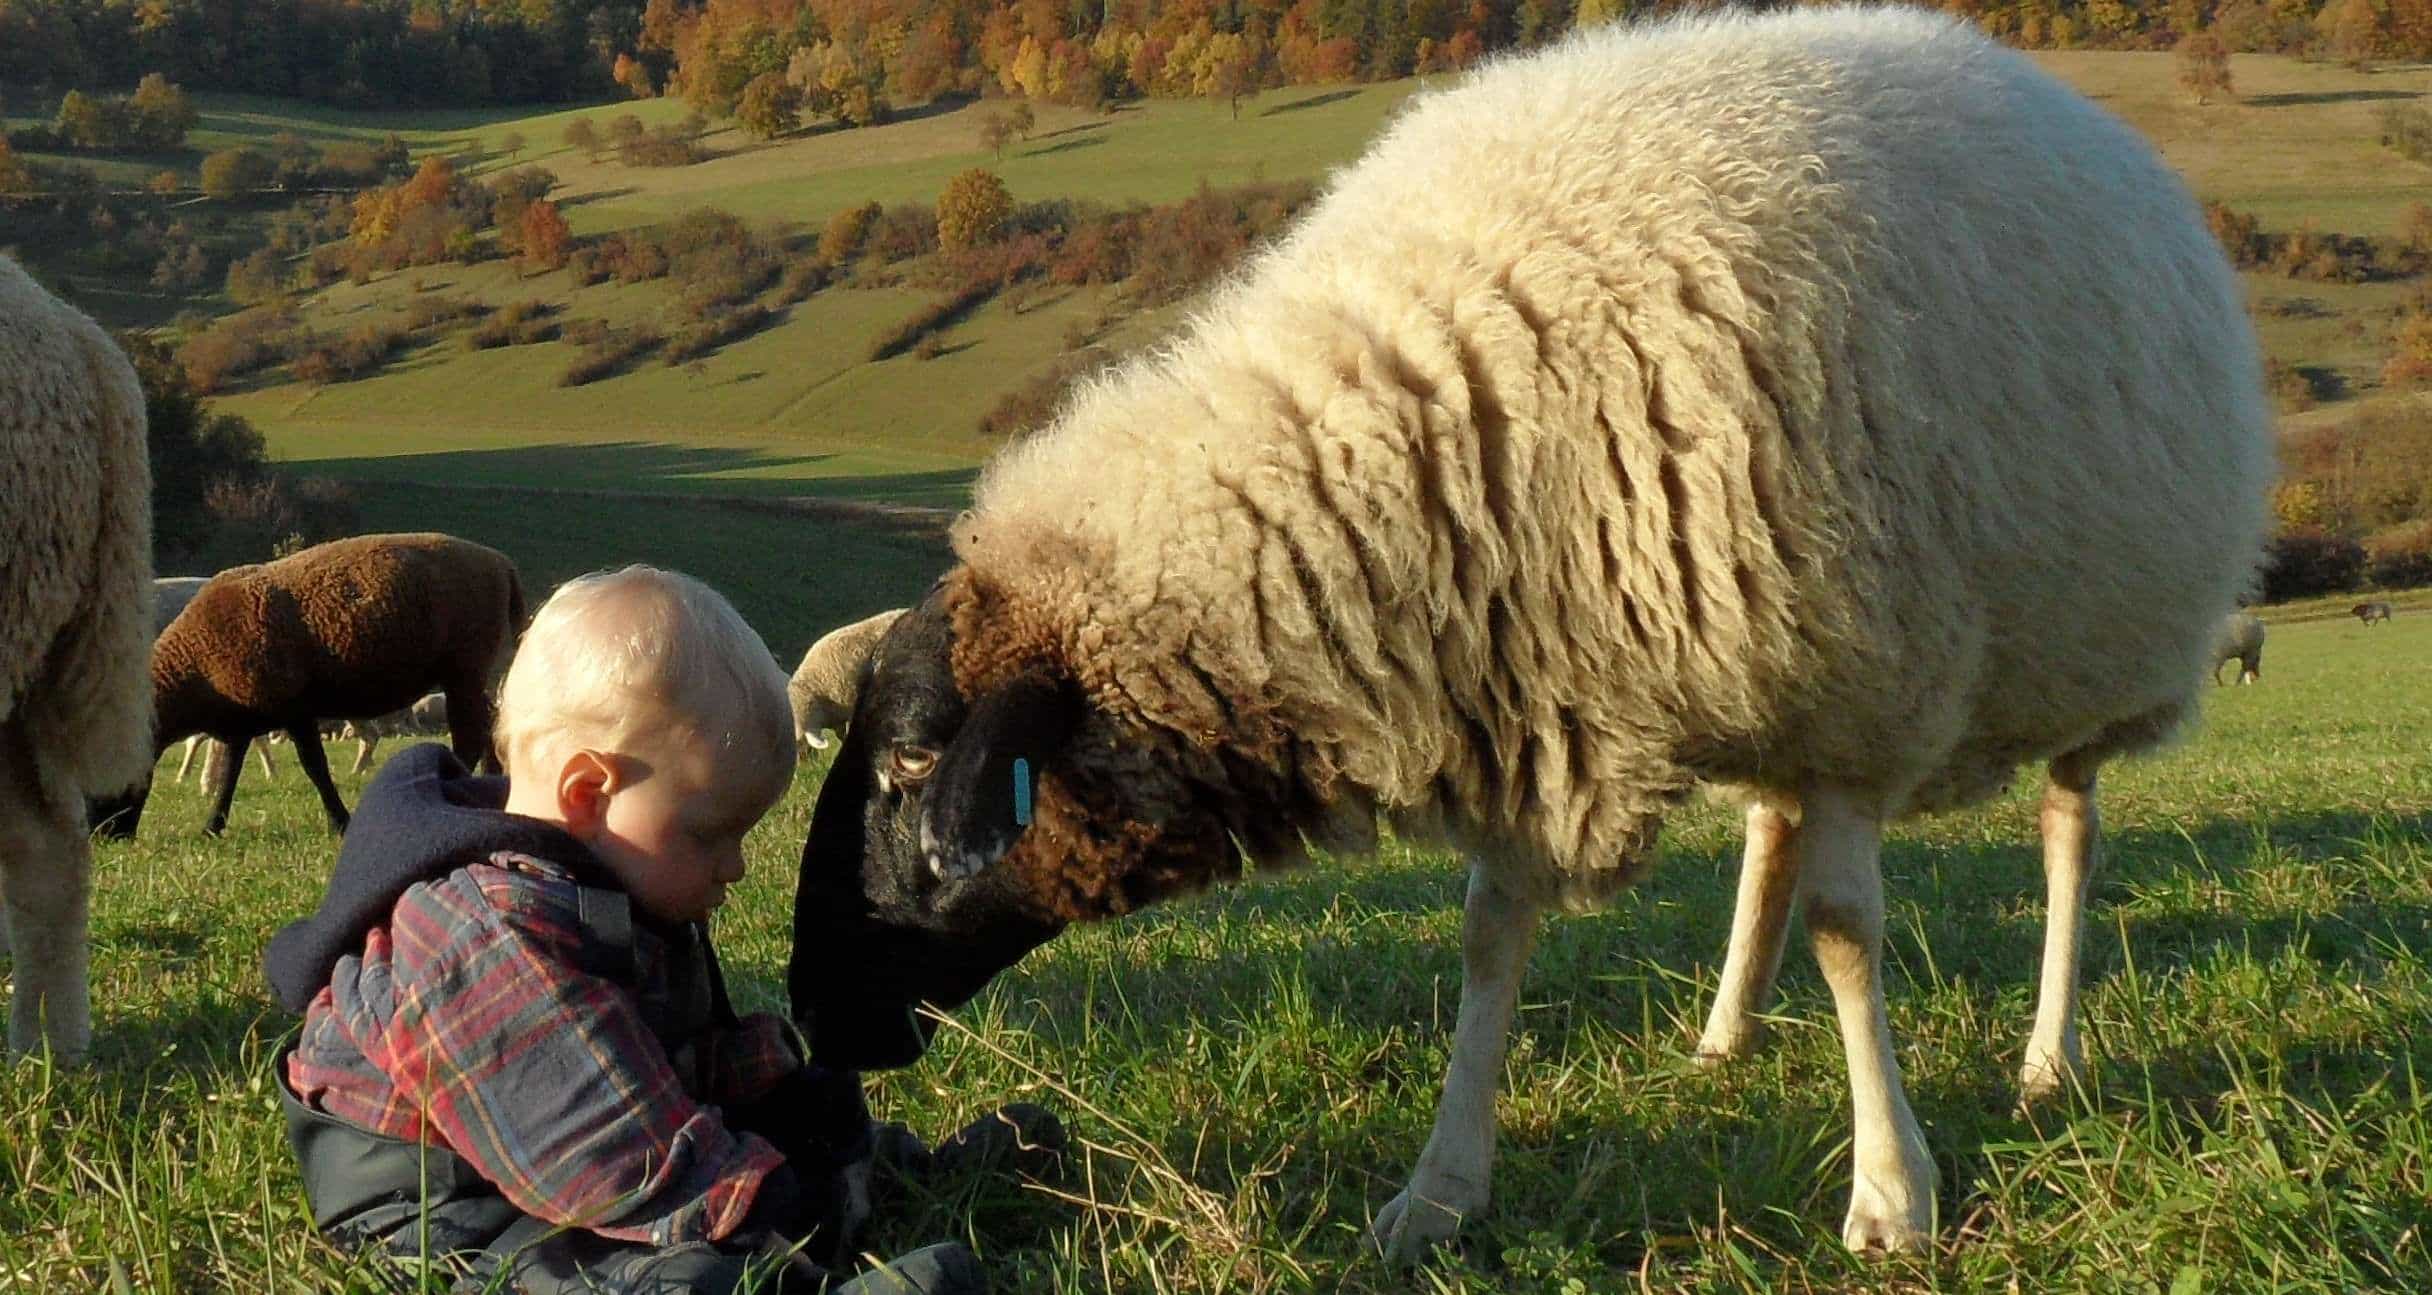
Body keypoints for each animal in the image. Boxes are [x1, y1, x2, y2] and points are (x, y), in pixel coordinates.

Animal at [93, 533, 525, 838]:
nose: (103, 836)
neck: (196, 663)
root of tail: (500, 562)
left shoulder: (295, 709)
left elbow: (314, 766)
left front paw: (340, 822)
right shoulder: (241, 721)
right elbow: (230, 773)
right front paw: (212, 826)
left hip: (464, 667)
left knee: (468, 736)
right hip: (471, 673)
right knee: (487, 727)